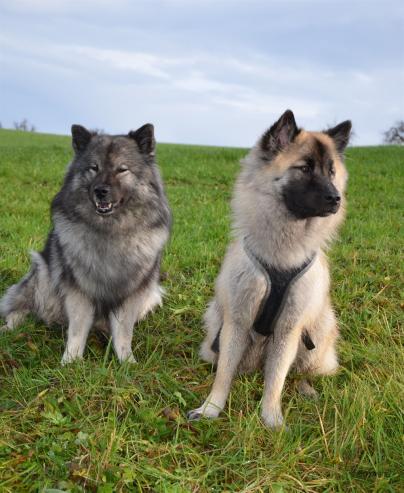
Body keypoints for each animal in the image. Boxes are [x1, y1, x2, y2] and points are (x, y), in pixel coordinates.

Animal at [0, 122, 171, 364]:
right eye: (94, 168)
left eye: (122, 169)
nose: (100, 191)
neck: (109, 231)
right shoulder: (78, 289)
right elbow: (78, 329)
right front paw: (70, 362)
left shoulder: (132, 293)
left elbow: (124, 332)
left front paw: (126, 362)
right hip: (43, 272)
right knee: (22, 306)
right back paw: (10, 328)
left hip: (151, 296)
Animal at [189, 109, 350, 424]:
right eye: (304, 168)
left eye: (331, 171)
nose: (335, 198)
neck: (280, 255)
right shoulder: (237, 322)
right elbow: (224, 374)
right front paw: (212, 408)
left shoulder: (289, 329)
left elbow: (276, 379)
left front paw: (271, 418)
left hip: (316, 337)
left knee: (301, 373)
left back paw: (307, 390)